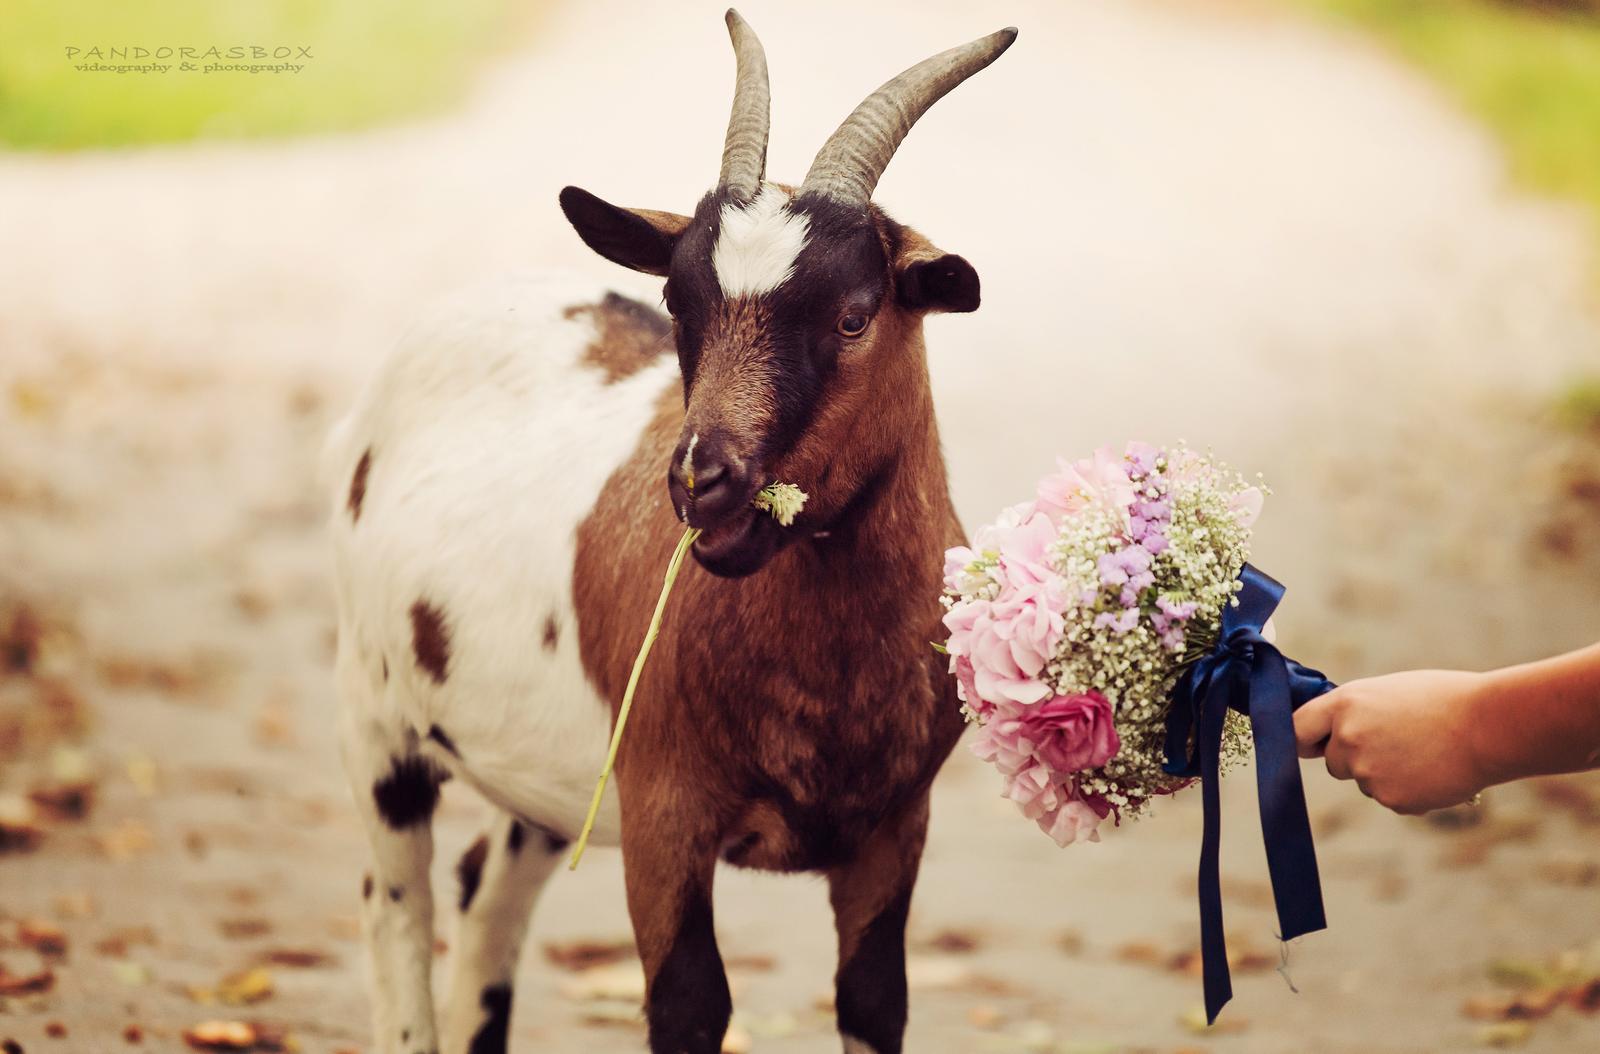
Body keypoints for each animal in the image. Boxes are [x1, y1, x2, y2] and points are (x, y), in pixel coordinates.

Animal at [326, 10, 1016, 1053]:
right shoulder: (662, 820)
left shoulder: (894, 831)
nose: (702, 483)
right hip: (377, 718)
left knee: (486, 896)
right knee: (397, 908)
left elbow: (873, 998)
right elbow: (690, 1004)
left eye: (855, 317)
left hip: (545, 782)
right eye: (676, 304)